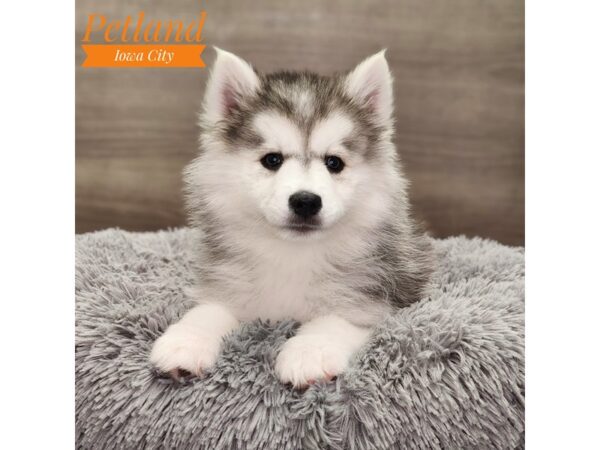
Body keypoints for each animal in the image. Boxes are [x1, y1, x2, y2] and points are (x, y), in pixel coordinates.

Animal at [150, 48, 432, 386]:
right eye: (272, 160)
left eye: (334, 163)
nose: (305, 201)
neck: (292, 254)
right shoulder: (228, 282)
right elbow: (209, 310)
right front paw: (186, 341)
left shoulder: (372, 296)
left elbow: (334, 318)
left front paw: (309, 352)